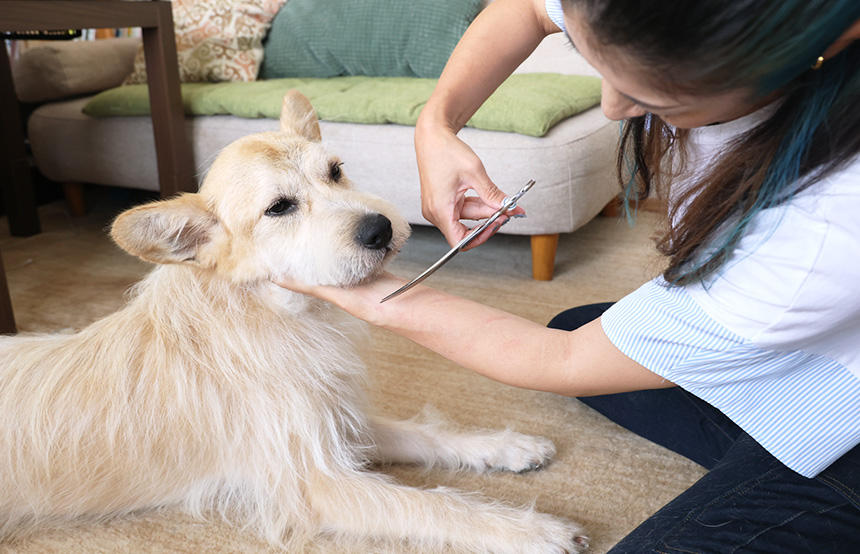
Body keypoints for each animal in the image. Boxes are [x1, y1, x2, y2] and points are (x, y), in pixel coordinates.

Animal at [0, 91, 584, 552]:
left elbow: (428, 435)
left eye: (336, 171)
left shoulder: (336, 423)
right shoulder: (314, 483)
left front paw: (506, 447)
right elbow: (437, 507)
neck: (266, 317)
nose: (380, 229)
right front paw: (533, 531)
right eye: (279, 208)